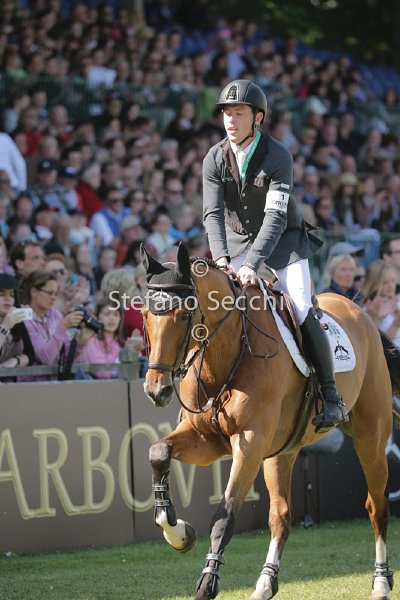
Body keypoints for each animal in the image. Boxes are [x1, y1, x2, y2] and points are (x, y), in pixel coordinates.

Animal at [140, 242, 399, 600]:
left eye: (183, 314)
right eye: (144, 315)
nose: (157, 390)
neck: (226, 355)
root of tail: (360, 312)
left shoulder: (249, 446)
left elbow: (225, 516)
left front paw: (207, 583)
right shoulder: (203, 440)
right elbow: (158, 453)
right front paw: (176, 531)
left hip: (370, 437)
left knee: (377, 507)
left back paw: (380, 582)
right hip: (283, 451)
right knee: (281, 515)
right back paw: (265, 584)